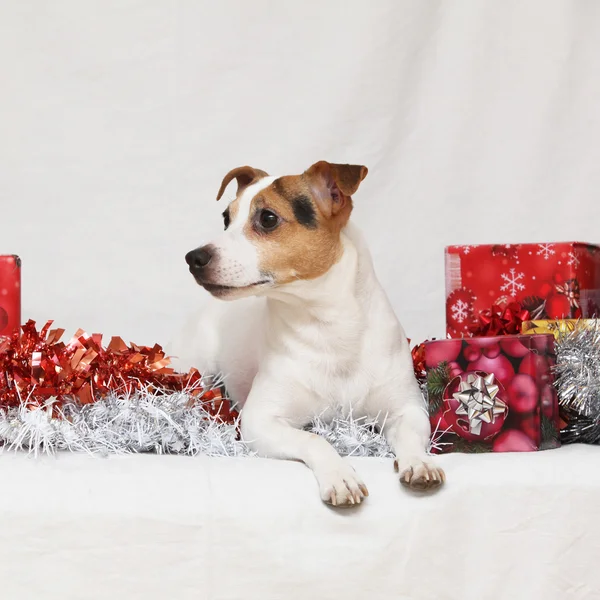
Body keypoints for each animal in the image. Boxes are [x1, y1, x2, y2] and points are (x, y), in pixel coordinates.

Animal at [171, 161, 442, 506]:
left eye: (268, 218)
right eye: (226, 219)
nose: (194, 258)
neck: (329, 328)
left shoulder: (407, 410)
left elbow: (410, 437)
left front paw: (420, 462)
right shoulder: (260, 421)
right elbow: (313, 439)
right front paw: (340, 476)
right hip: (196, 369)